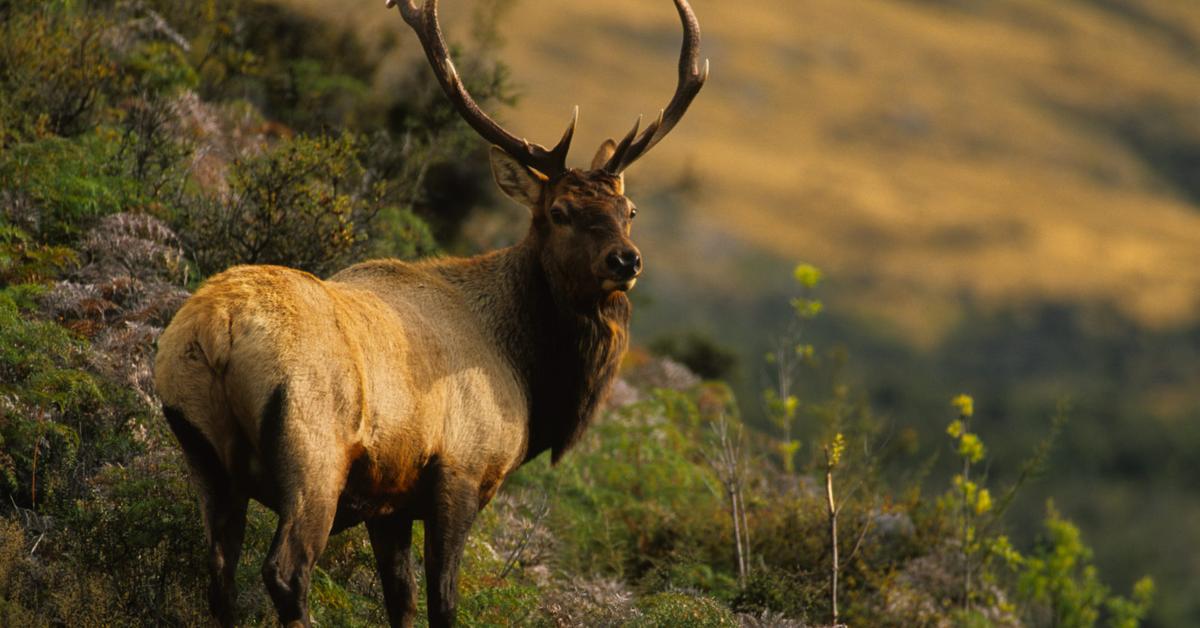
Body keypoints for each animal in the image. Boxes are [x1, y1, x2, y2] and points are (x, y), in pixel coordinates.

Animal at [154, 2, 705, 624]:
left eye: (628, 209)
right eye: (559, 211)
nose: (625, 259)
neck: (529, 375)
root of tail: (215, 331)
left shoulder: (389, 500)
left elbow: (402, 599)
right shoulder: (460, 468)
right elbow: (443, 598)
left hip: (203, 451)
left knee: (218, 574)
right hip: (312, 449)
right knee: (286, 569)